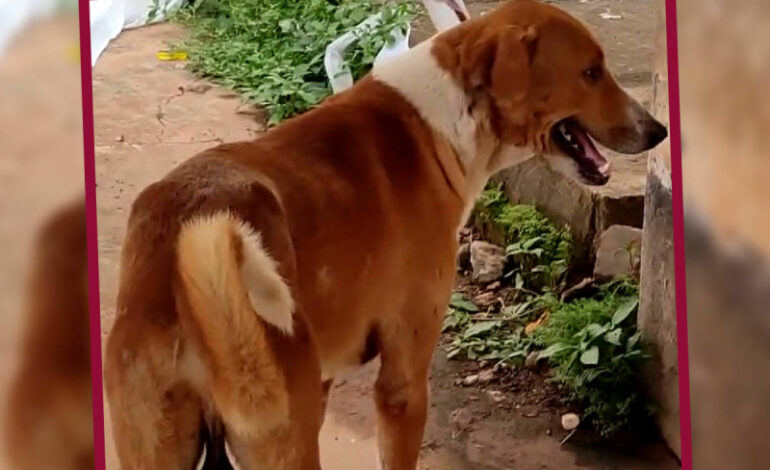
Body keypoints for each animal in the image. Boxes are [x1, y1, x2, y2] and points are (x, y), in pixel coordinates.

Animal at [103, 1, 664, 468]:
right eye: (591, 72)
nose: (658, 130)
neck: (448, 121)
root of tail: (179, 248)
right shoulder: (403, 381)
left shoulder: (323, 383)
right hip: (282, 439)